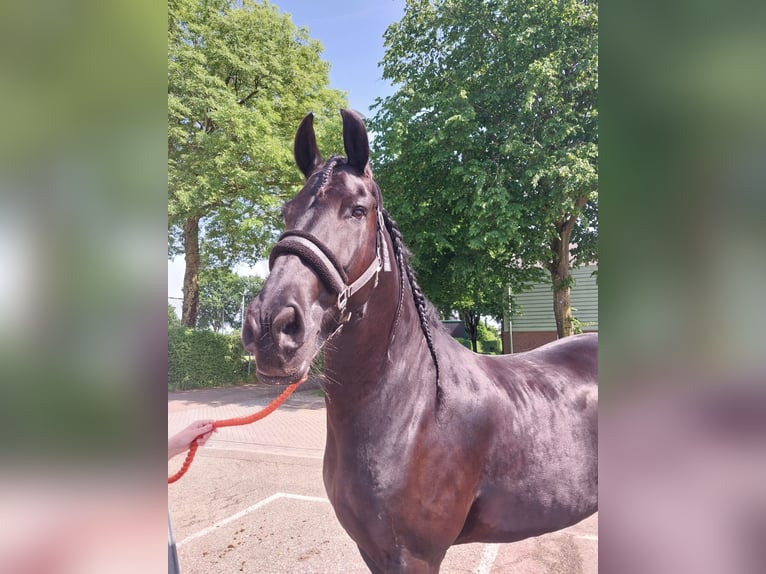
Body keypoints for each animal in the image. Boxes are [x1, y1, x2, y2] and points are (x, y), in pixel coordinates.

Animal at [242, 109, 598, 573]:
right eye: (287, 211)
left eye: (358, 210)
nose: (271, 326)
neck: (416, 408)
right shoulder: (373, 552)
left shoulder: (416, 557)